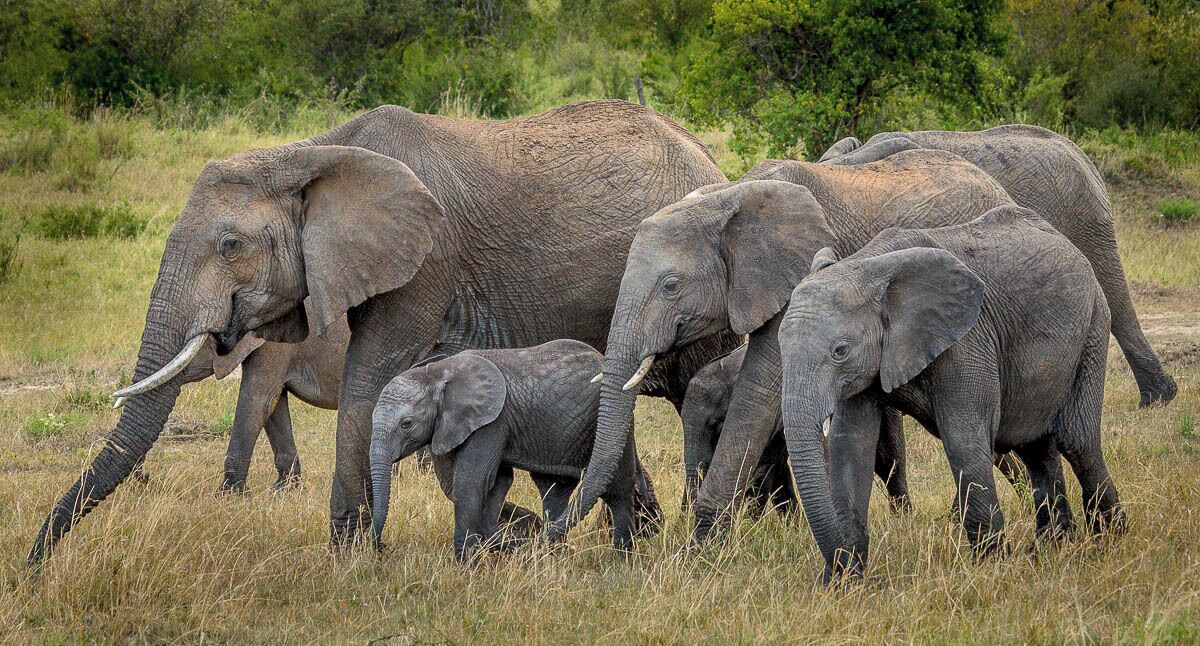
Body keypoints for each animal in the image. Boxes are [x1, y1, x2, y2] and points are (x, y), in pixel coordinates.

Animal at [370, 340, 640, 560]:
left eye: (407, 424)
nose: (382, 546)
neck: (437, 372)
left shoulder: (491, 422)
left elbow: (470, 483)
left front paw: (466, 565)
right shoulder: (451, 426)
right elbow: (494, 481)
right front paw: (495, 546)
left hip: (613, 421)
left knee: (617, 489)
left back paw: (619, 559)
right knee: (553, 488)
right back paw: (555, 556)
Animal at [779, 206, 1126, 582]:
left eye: (840, 351)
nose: (844, 569)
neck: (868, 266)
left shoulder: (968, 339)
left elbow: (962, 439)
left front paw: (990, 568)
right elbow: (850, 446)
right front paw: (842, 584)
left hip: (1093, 327)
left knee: (1077, 441)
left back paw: (1110, 540)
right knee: (1036, 447)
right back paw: (1055, 546)